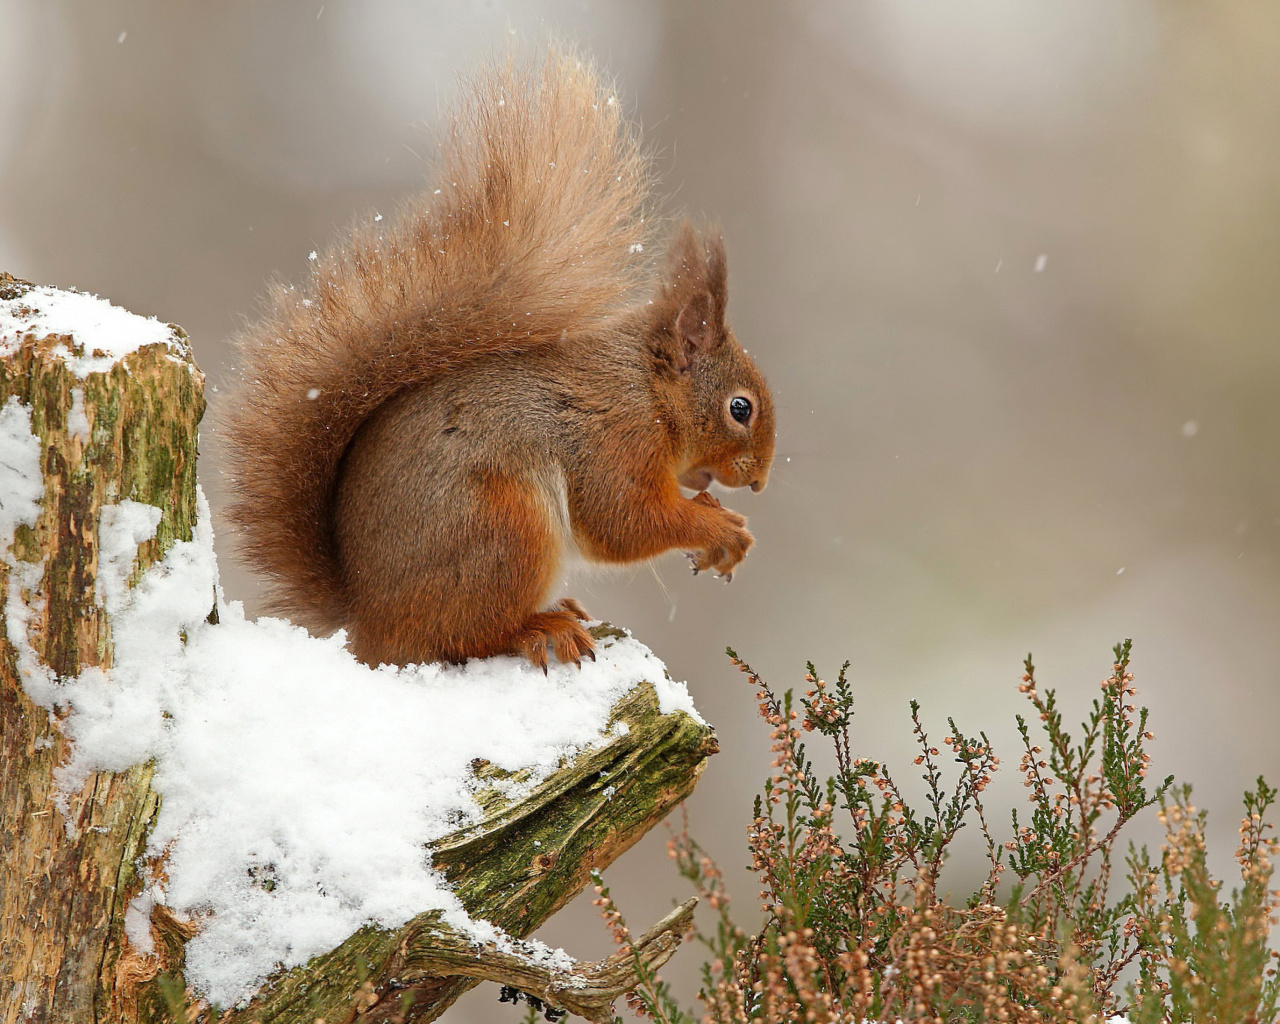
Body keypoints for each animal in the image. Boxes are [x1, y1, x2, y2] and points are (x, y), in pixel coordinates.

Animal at [220, 51, 773, 665]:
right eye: (740, 409)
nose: (759, 481)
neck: (647, 391)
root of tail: (369, 625)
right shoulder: (615, 440)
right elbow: (625, 521)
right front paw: (720, 528)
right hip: (506, 528)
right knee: (466, 636)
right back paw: (541, 627)